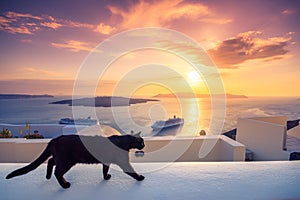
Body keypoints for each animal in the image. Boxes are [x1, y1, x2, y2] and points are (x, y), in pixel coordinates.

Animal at [5, 132, 144, 188]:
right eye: (141, 142)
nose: (144, 145)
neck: (125, 142)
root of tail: (55, 139)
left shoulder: (106, 161)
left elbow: (105, 169)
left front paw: (106, 177)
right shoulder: (124, 162)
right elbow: (131, 171)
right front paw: (140, 177)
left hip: (61, 159)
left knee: (51, 161)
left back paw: (48, 176)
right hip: (66, 161)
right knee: (57, 172)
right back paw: (65, 184)